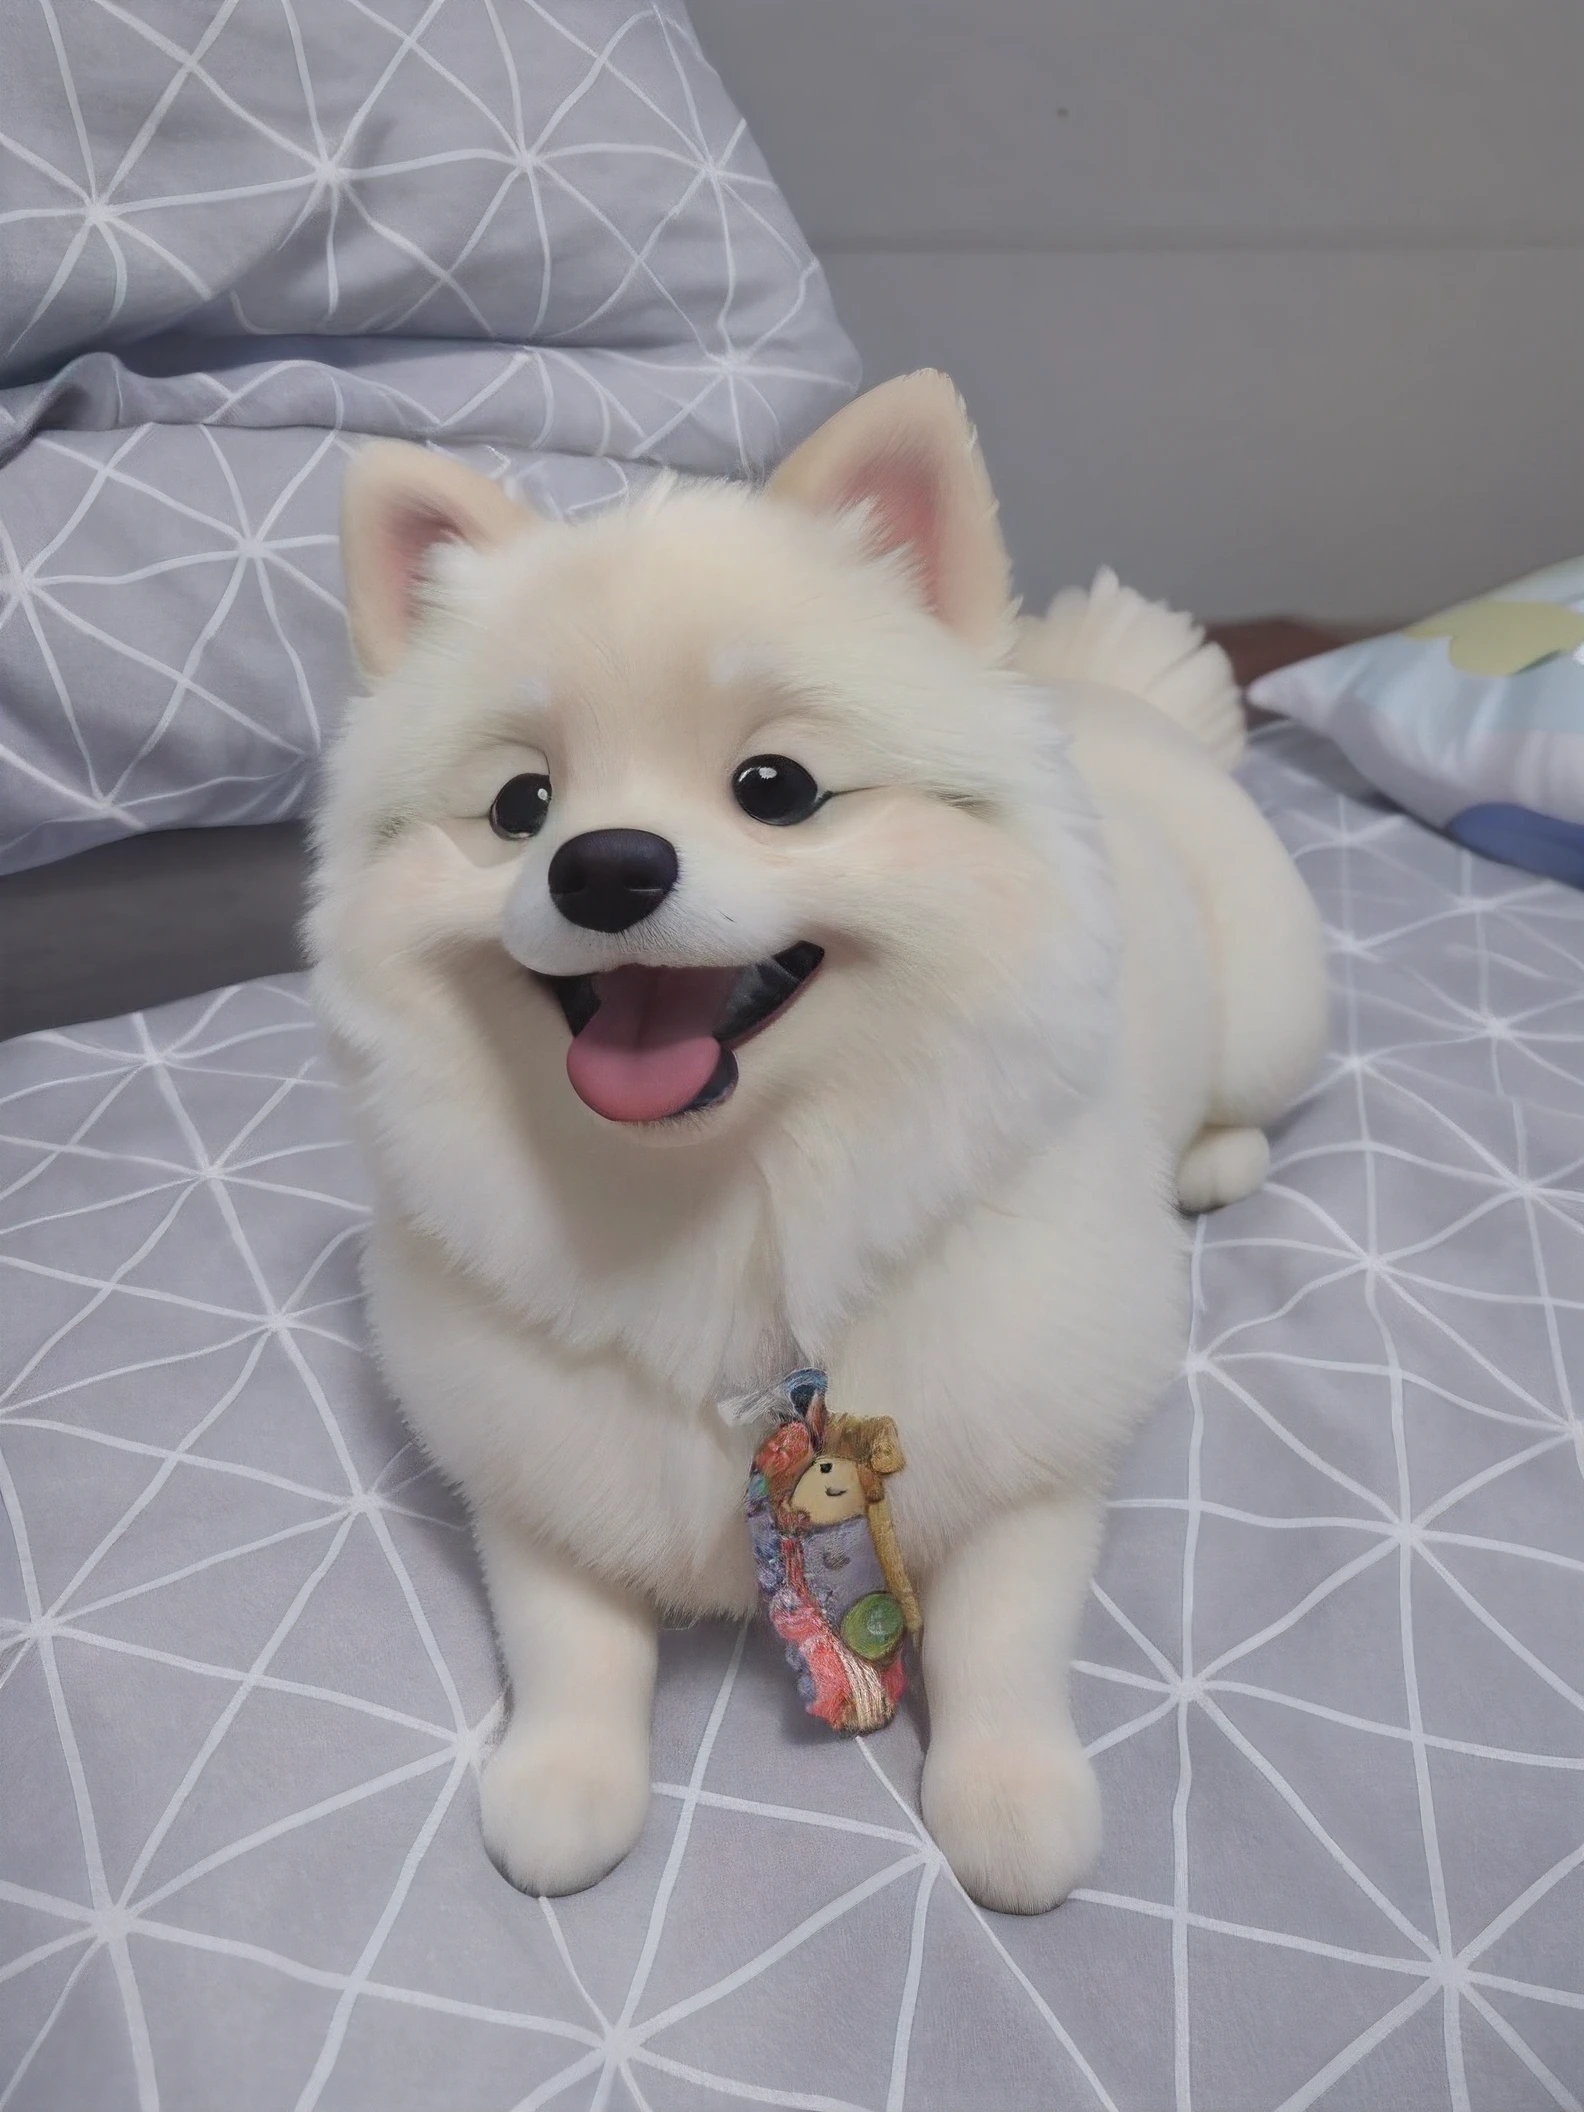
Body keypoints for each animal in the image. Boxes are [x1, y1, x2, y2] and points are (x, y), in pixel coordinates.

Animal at [310, 375, 1326, 1917]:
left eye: (775, 786)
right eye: (520, 808)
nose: (605, 866)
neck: (729, 1192)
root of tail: (1109, 699)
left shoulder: (1034, 1440)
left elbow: (1005, 1629)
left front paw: (1011, 1793)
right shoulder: (536, 1459)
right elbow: (564, 1632)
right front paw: (561, 1778)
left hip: (1272, 1011)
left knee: (1251, 1096)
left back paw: (1210, 1157)